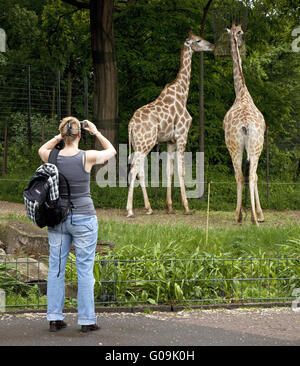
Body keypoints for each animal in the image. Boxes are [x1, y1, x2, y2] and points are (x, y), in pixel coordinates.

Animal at [125, 30, 214, 217]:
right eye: (198, 40)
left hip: (138, 144)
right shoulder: (182, 135)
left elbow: (169, 171)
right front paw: (187, 208)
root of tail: (131, 125)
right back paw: (130, 210)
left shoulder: (170, 141)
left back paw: (149, 208)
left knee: (140, 170)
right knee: (134, 169)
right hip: (146, 143)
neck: (182, 94)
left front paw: (170, 207)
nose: (212, 45)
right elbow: (181, 170)